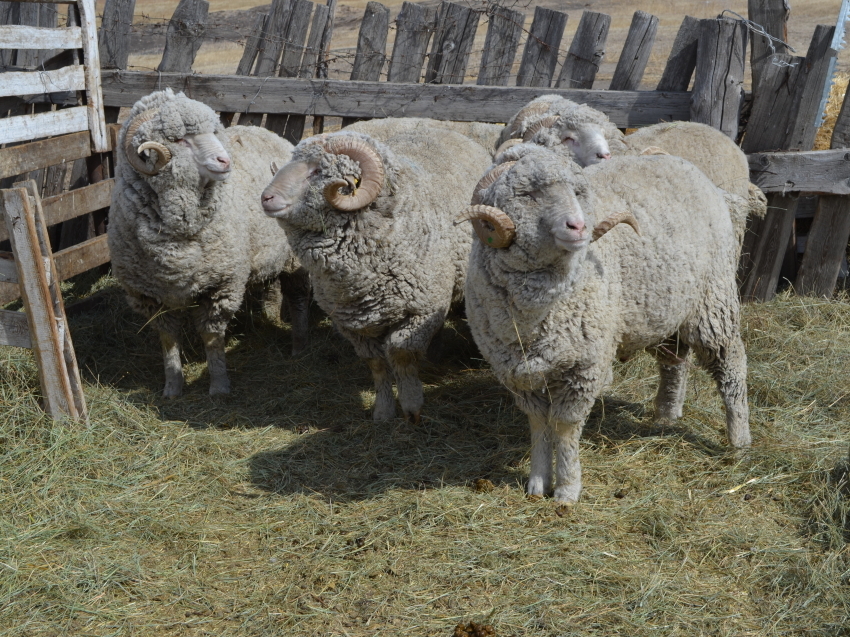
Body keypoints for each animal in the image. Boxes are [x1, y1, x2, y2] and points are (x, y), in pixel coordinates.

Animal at [108, 88, 308, 398]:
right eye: (180, 139)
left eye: (213, 132)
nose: (226, 161)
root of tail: (266, 131)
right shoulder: (150, 294)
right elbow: (168, 339)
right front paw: (172, 386)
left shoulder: (221, 285)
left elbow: (212, 337)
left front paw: (219, 385)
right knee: (271, 286)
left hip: (293, 258)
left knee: (298, 297)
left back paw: (298, 347)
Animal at [258, 128, 490, 422]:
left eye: (318, 170)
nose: (265, 198)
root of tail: (443, 129)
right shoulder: (352, 324)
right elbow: (377, 364)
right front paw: (383, 411)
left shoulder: (421, 309)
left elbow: (401, 354)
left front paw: (412, 406)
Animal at [460, 149, 752, 502]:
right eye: (527, 194)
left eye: (577, 193)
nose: (579, 226)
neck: (534, 315)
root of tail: (685, 166)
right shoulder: (518, 372)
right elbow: (539, 423)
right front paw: (537, 483)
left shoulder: (585, 366)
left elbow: (565, 426)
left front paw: (567, 490)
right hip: (665, 310)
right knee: (675, 361)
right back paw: (667, 415)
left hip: (713, 301)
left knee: (731, 365)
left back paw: (739, 440)